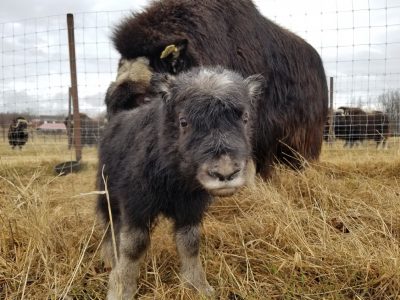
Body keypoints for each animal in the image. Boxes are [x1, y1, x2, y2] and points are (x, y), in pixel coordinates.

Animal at [96, 67, 260, 298]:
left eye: (244, 118)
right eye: (184, 121)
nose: (225, 172)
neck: (174, 177)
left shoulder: (189, 210)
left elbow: (190, 244)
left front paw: (199, 287)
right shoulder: (136, 206)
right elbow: (134, 246)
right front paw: (121, 289)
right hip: (107, 193)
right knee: (108, 225)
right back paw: (110, 259)